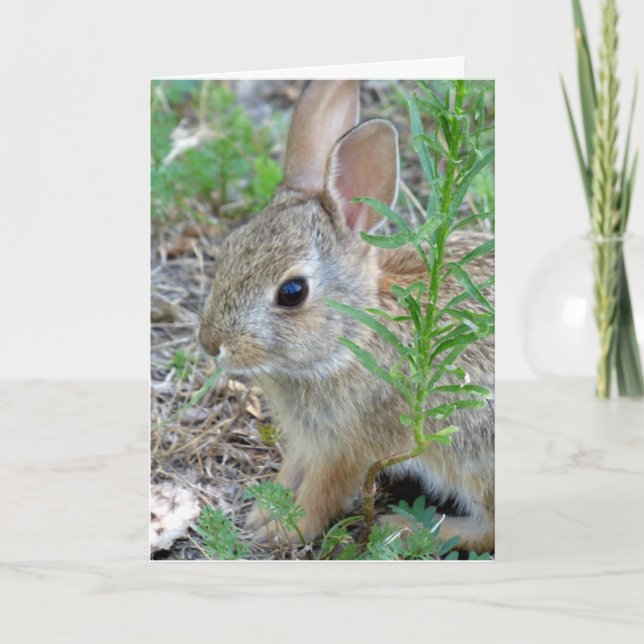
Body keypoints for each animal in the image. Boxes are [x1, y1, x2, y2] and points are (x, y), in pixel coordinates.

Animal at [199, 80, 494, 553]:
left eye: (292, 293)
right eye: (228, 248)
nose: (211, 344)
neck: (352, 339)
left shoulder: (348, 449)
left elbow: (323, 494)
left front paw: (283, 530)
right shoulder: (307, 443)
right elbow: (290, 474)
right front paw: (264, 512)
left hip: (473, 456)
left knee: (489, 528)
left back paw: (406, 528)